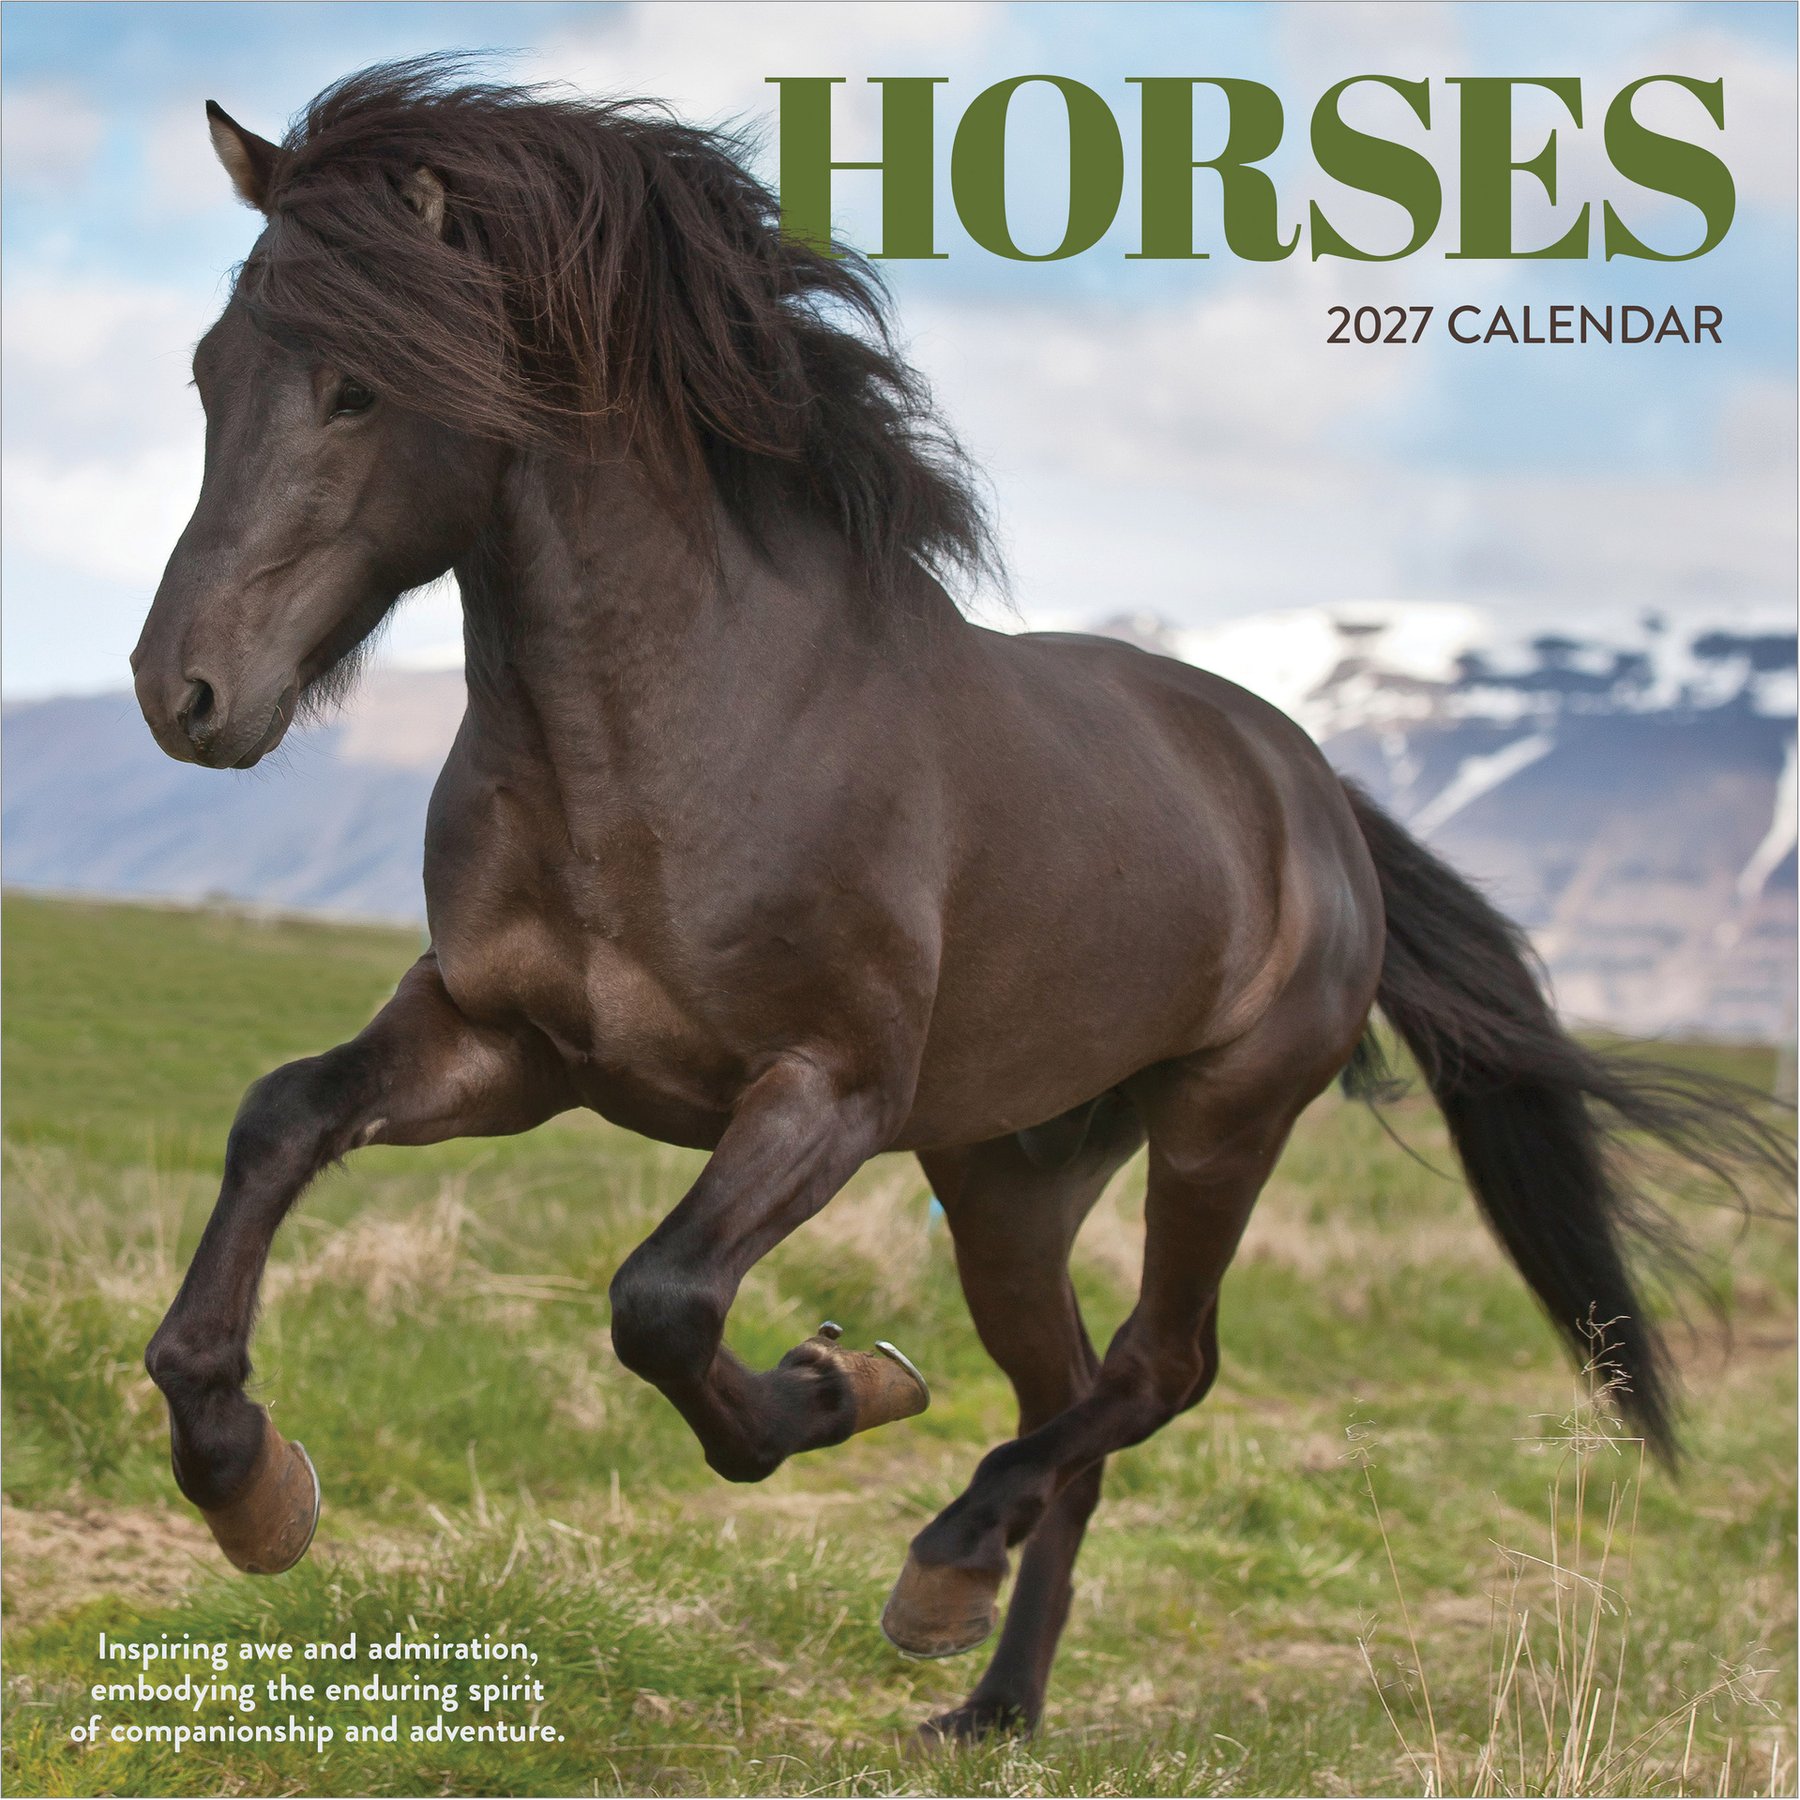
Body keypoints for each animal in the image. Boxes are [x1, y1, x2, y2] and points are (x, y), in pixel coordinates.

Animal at [131, 60, 1787, 1743]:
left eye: (357, 388)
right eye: (207, 374)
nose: (182, 692)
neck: (674, 739)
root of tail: (1311, 789)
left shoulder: (828, 1091)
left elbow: (662, 1300)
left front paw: (837, 1386)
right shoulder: (507, 1045)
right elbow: (280, 1118)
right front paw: (246, 1481)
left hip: (1223, 1120)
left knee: (1158, 1370)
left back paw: (946, 1563)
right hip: (1008, 1177)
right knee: (1074, 1402)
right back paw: (991, 1696)